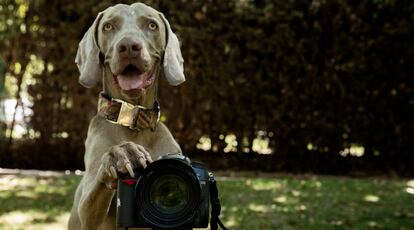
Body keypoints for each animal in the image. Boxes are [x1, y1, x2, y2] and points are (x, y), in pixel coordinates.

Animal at [68, 3, 185, 230]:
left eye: (152, 25)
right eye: (108, 26)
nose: (129, 46)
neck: (133, 118)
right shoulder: (87, 213)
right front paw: (122, 155)